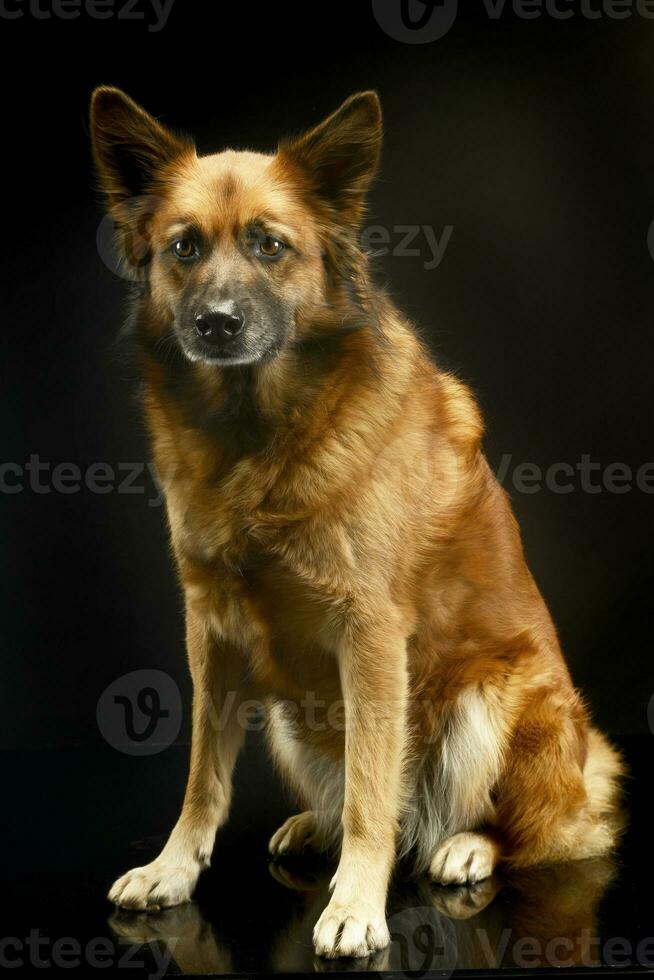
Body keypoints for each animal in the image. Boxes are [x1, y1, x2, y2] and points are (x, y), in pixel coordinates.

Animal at [88, 88, 624, 960]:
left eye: (270, 246)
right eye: (184, 248)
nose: (218, 323)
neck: (258, 439)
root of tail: (589, 762)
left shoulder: (369, 633)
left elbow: (376, 789)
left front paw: (356, 906)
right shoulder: (211, 628)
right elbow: (205, 776)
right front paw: (173, 868)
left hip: (491, 700)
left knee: (534, 832)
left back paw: (465, 846)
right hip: (289, 714)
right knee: (369, 799)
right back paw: (316, 826)